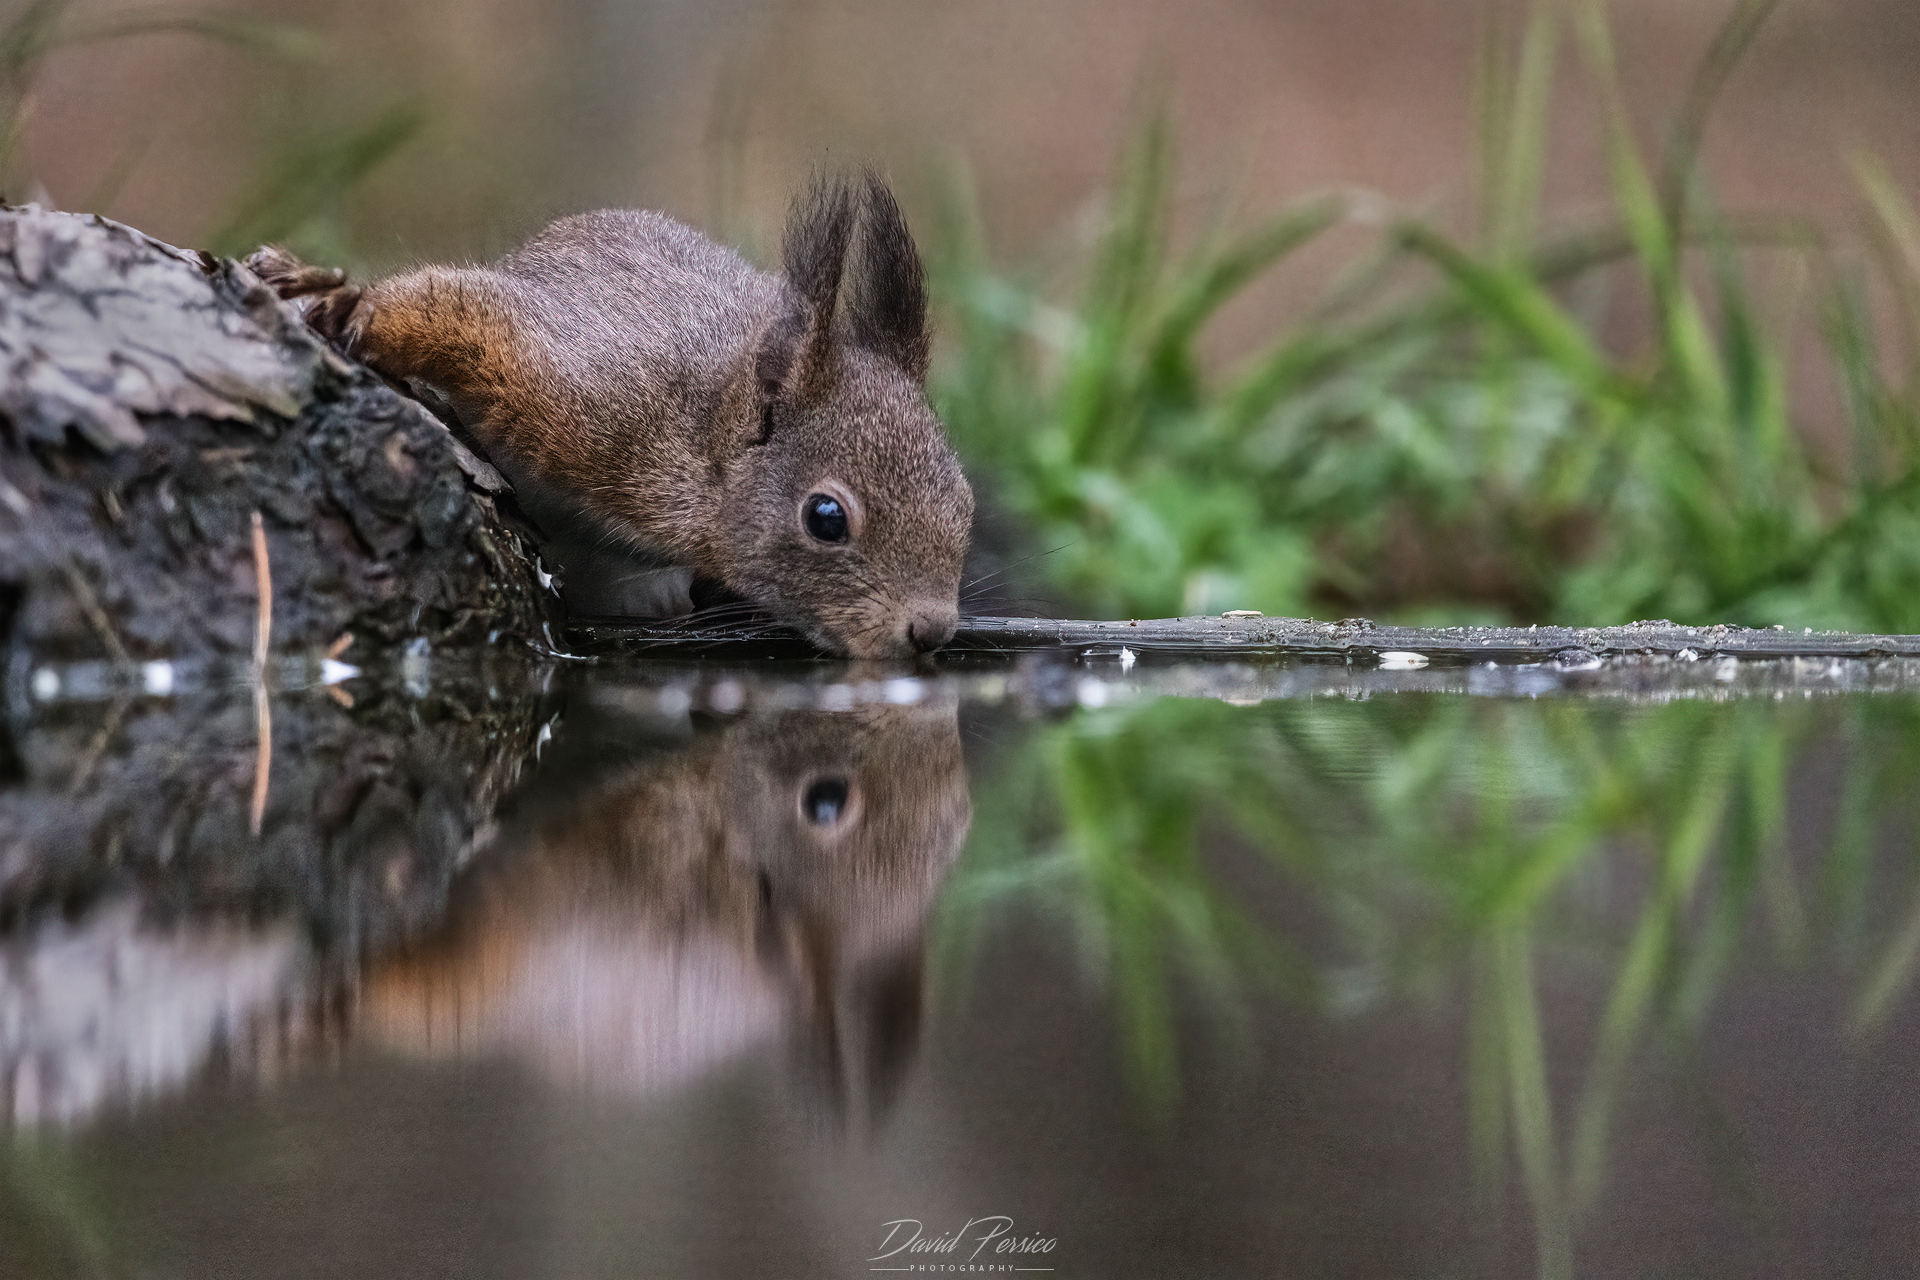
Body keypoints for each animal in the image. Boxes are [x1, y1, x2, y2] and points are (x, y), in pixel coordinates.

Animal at [246, 173, 973, 659]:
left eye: (966, 503)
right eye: (825, 518)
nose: (931, 631)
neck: (700, 436)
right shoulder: (587, 388)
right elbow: (459, 310)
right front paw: (346, 301)